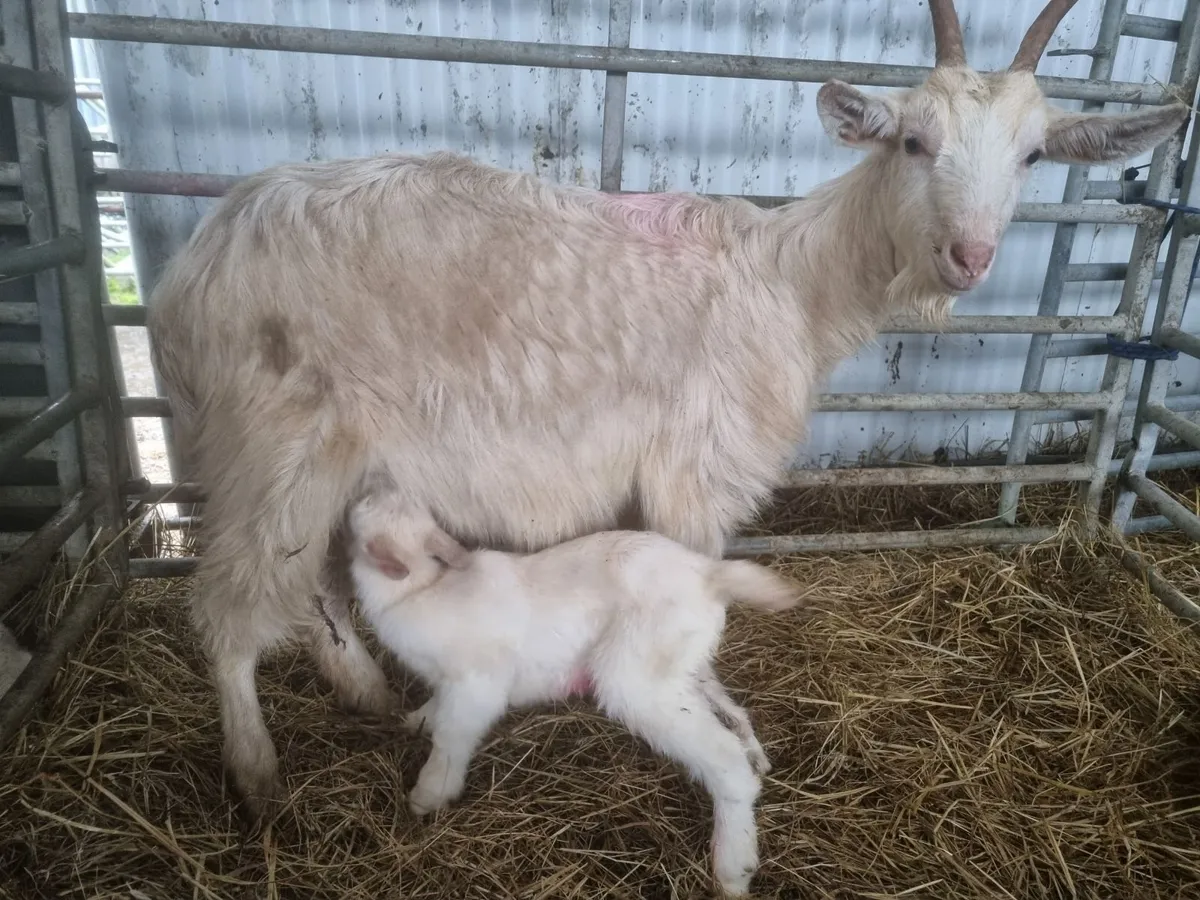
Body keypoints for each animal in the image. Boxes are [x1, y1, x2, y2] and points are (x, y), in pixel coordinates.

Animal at [147, 0, 1190, 816]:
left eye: (1032, 155)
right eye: (912, 140)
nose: (970, 258)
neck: (793, 285)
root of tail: (187, 273)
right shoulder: (699, 473)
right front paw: (717, 729)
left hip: (320, 457)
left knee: (315, 575)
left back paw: (363, 693)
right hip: (270, 440)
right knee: (229, 606)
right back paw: (257, 776)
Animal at [345, 490, 801, 897]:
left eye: (365, 509)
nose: (357, 497)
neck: (417, 591)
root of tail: (708, 574)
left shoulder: (477, 683)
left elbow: (451, 736)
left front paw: (428, 795)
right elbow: (436, 712)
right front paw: (414, 720)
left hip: (636, 677)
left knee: (724, 760)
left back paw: (733, 868)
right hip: (686, 664)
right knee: (731, 712)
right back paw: (757, 757)